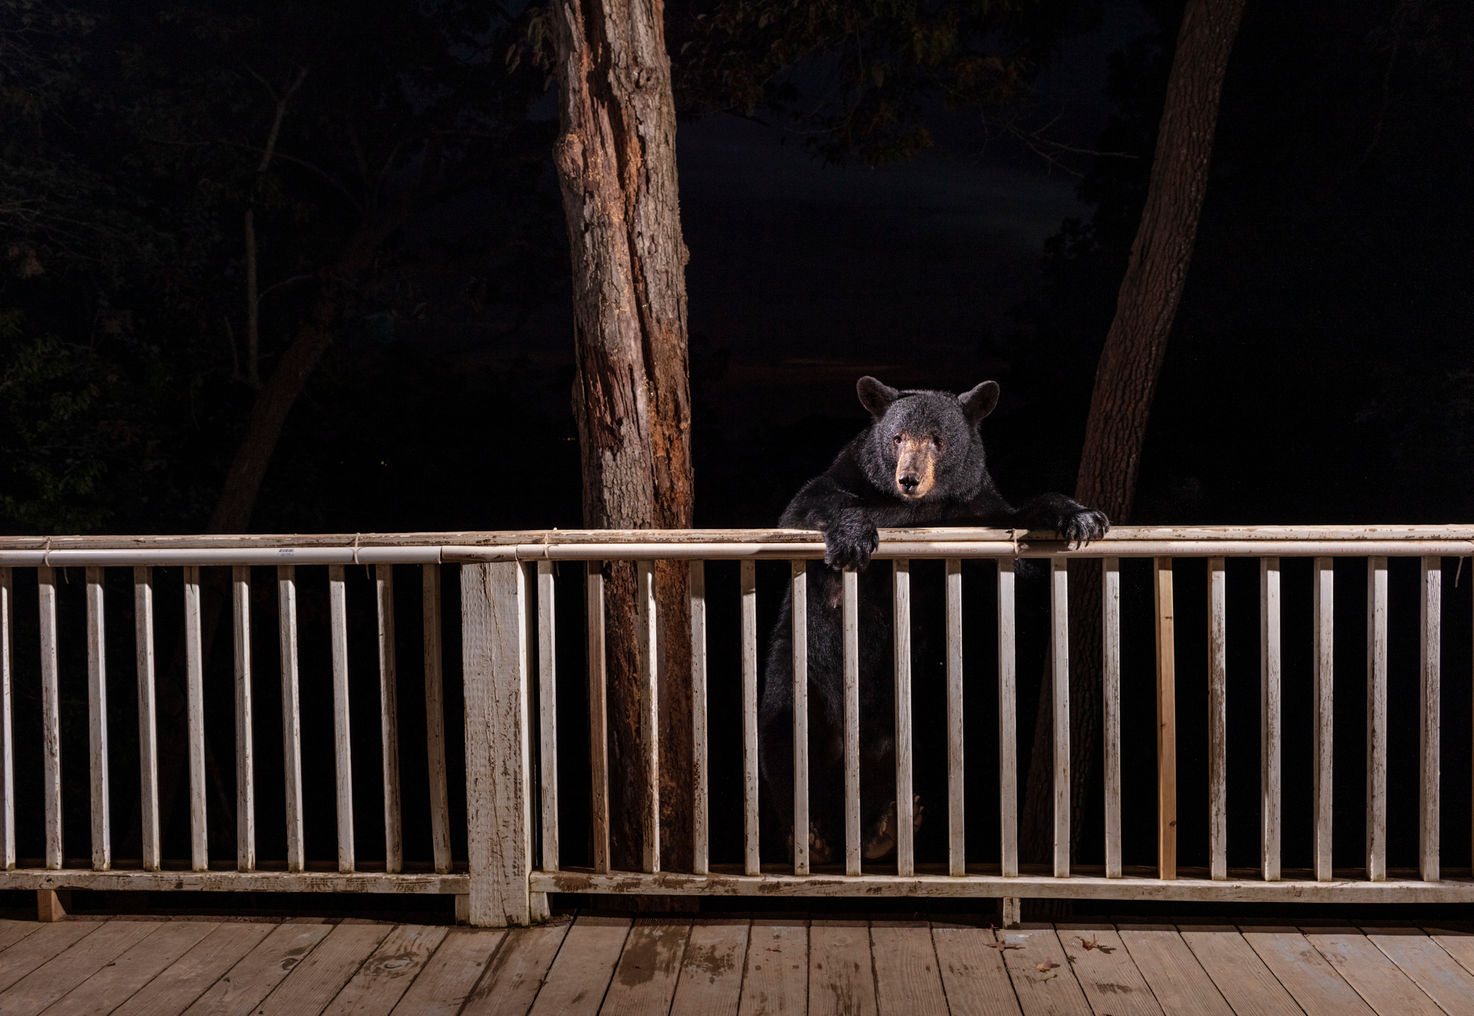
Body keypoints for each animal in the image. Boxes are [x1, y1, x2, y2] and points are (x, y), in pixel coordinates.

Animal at [759, 375, 1109, 866]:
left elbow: (1019, 541)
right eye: (897, 437)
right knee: (784, 739)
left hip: (920, 710)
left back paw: (885, 827)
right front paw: (853, 536)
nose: (908, 479)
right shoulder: (848, 473)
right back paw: (810, 835)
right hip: (795, 674)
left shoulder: (977, 507)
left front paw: (1081, 515)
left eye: (938, 441)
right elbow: (808, 504)